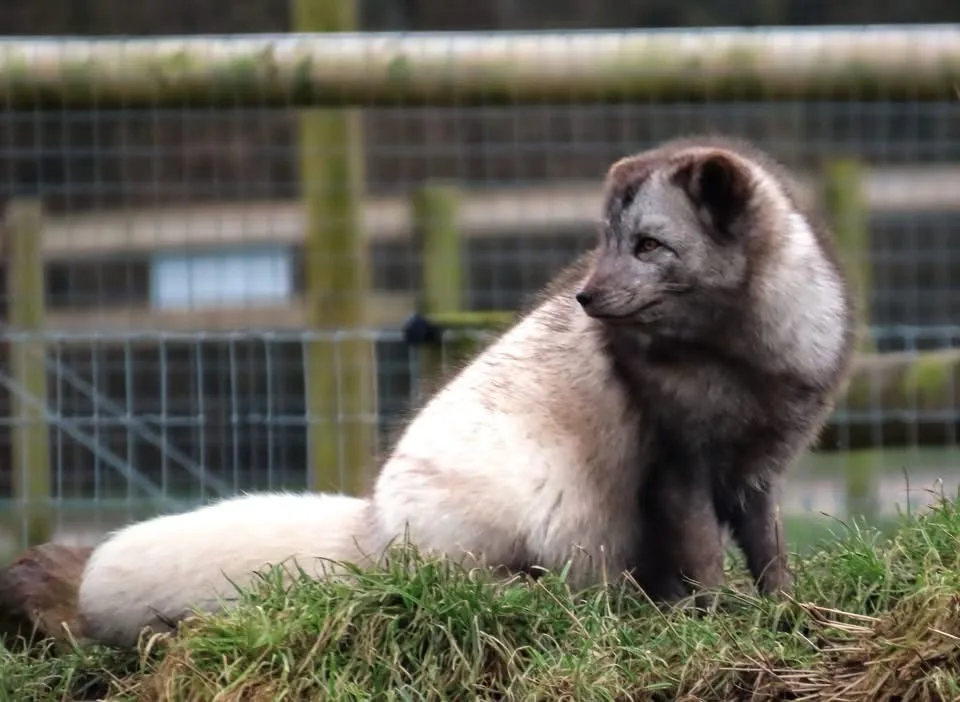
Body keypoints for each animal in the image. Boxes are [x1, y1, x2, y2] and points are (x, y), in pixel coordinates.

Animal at [75, 135, 855, 649]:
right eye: (605, 240)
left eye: (648, 245)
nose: (585, 297)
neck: (740, 356)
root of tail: (370, 528)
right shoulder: (678, 467)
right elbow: (703, 563)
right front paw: (718, 624)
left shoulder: (758, 468)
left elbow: (769, 552)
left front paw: (787, 611)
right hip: (536, 504)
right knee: (486, 588)